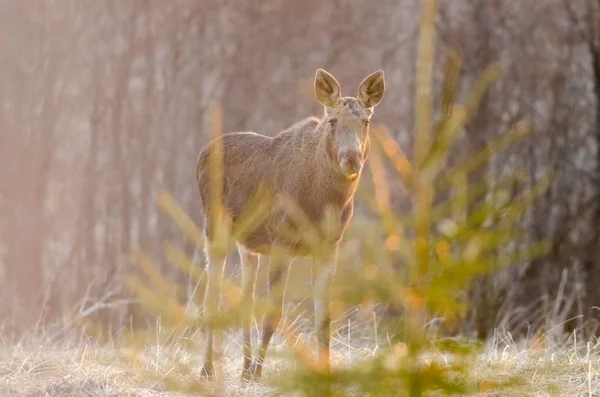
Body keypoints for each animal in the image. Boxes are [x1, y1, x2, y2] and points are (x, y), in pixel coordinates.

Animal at [195, 69, 386, 380]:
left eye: (366, 121)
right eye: (332, 121)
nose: (351, 158)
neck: (323, 202)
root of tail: (202, 154)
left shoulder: (328, 246)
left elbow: (324, 318)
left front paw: (324, 372)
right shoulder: (282, 240)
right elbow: (274, 313)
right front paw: (259, 373)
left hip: (249, 244)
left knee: (245, 298)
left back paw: (243, 368)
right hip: (214, 227)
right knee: (212, 297)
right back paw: (208, 370)